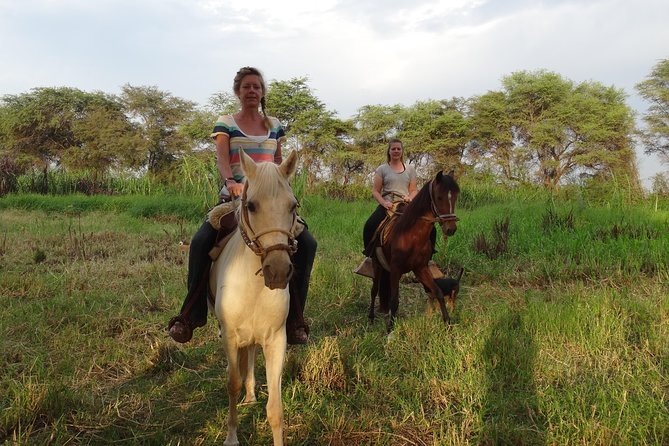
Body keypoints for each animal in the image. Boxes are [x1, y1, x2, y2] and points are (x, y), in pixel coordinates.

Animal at [209, 149, 299, 446]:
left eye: (293, 206)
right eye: (251, 206)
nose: (278, 271)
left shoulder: (276, 339)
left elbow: (276, 407)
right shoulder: (229, 335)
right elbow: (232, 384)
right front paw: (231, 437)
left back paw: (250, 395)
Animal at [368, 170, 460, 333]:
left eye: (455, 196)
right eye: (439, 197)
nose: (451, 229)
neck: (411, 235)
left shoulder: (420, 268)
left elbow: (437, 292)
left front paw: (447, 323)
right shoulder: (396, 269)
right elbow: (394, 300)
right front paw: (390, 329)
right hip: (376, 263)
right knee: (374, 290)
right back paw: (371, 318)